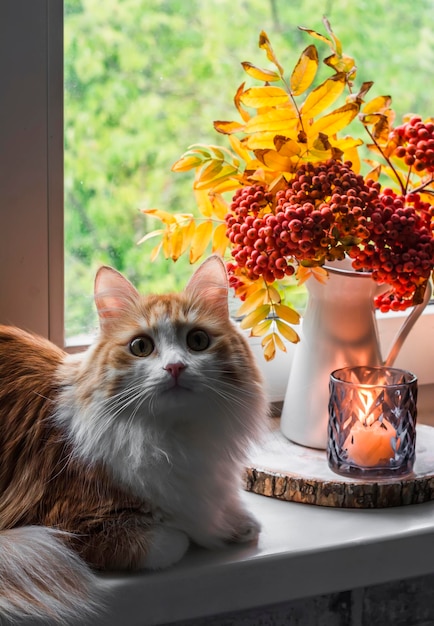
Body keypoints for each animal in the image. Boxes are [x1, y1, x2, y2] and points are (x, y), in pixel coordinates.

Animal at [0, 256, 266, 620]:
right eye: (141, 347)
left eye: (197, 341)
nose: (175, 367)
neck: (173, 437)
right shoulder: (67, 524)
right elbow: (175, 539)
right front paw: (205, 528)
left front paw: (237, 523)